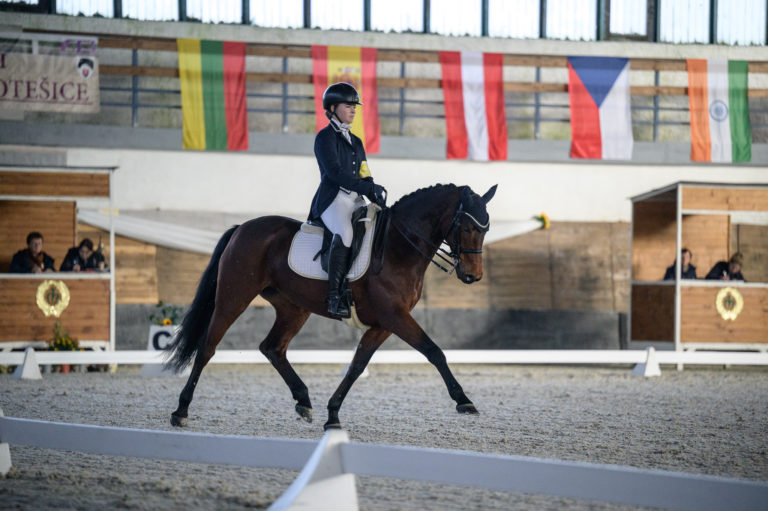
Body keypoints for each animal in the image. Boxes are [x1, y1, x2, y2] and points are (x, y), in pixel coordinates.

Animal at [164, 182, 496, 430]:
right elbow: (434, 351)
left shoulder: (383, 323)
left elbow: (357, 365)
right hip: (234, 296)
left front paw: (333, 414)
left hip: (294, 308)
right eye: (467, 228)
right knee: (207, 347)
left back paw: (304, 401)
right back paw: (181, 411)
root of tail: (243, 227)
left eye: (486, 229)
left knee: (272, 347)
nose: (474, 276)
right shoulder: (395, 316)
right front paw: (464, 401)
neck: (398, 247)